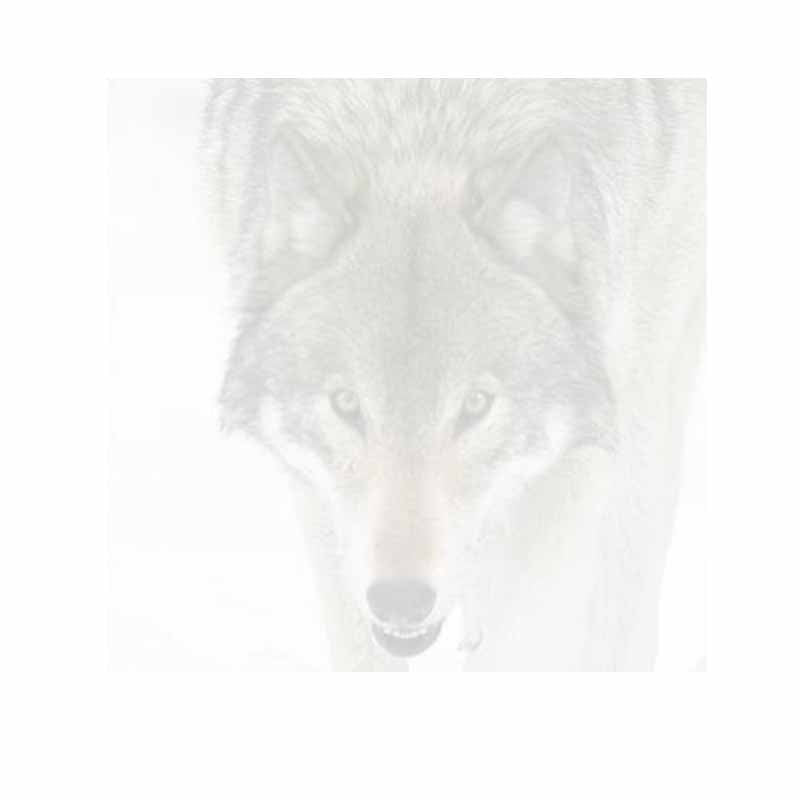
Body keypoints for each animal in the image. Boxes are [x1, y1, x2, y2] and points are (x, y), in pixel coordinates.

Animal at [203, 80, 705, 671]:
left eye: (475, 405)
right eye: (347, 403)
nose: (400, 600)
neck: (420, 125)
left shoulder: (579, 465)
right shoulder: (318, 497)